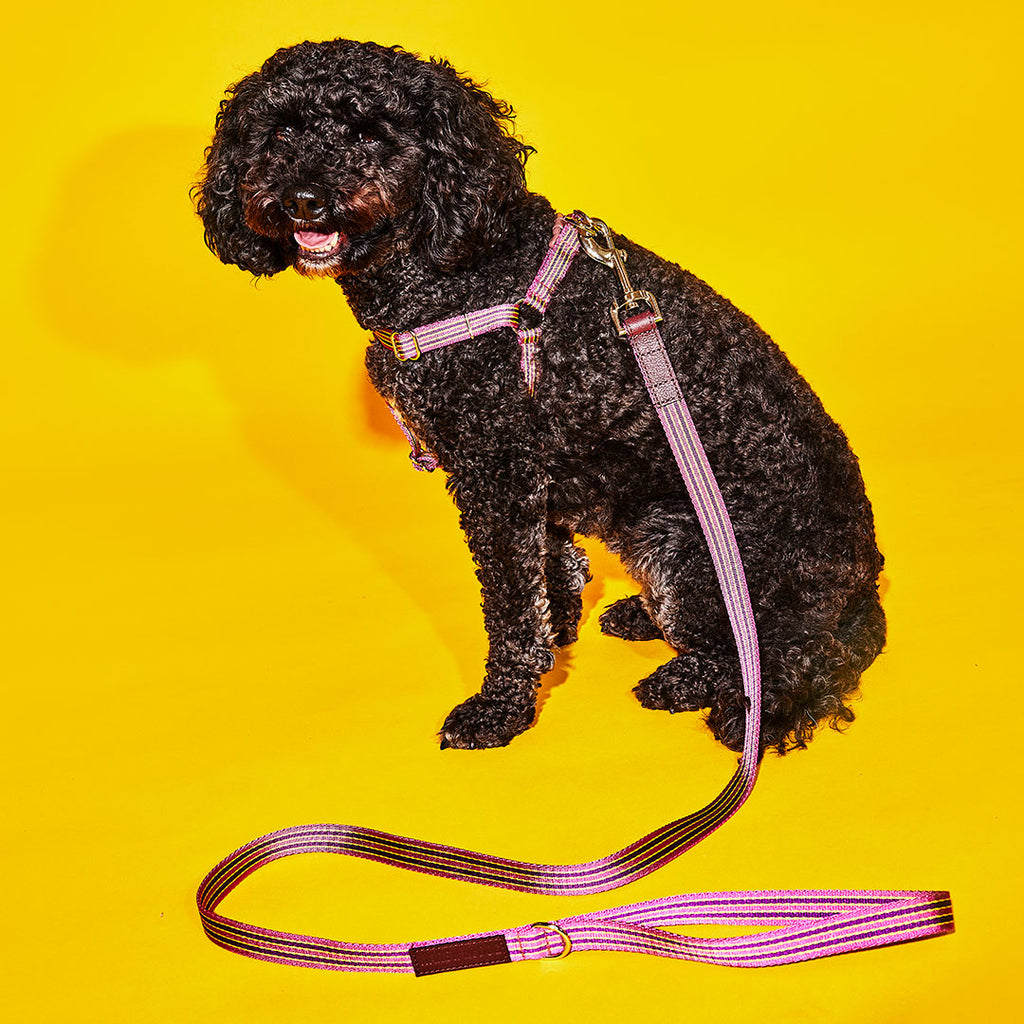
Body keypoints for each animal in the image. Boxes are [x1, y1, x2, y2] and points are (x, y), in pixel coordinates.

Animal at [195, 37, 884, 753]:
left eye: (370, 134)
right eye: (280, 132)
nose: (303, 199)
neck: (457, 273)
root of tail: (862, 586)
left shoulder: (496, 470)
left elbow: (510, 606)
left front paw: (501, 707)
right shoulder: (535, 472)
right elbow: (547, 569)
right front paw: (560, 631)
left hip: (688, 545)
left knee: (774, 653)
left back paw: (691, 683)